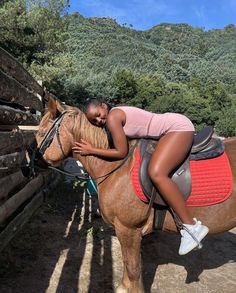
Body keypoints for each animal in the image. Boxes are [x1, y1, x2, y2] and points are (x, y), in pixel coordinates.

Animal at [35, 97, 236, 290]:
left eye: (40, 133)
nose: (31, 164)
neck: (117, 167)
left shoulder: (128, 229)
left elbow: (133, 269)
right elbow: (128, 267)